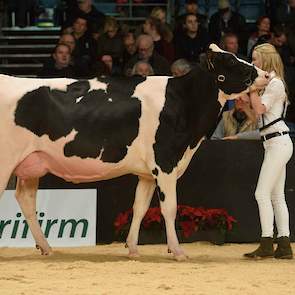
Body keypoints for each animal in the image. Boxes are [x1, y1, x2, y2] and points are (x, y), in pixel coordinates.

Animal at [0, 44, 270, 262]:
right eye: (232, 61)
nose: (267, 74)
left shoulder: (148, 173)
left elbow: (139, 207)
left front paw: (132, 249)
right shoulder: (165, 164)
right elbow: (169, 208)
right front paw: (177, 251)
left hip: (31, 164)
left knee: (26, 201)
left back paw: (46, 248)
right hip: (6, 162)